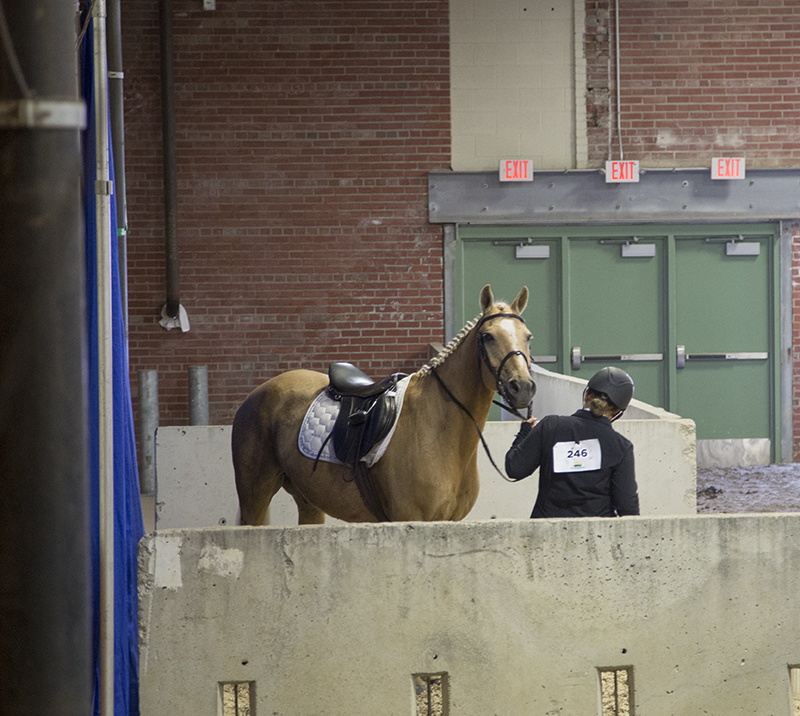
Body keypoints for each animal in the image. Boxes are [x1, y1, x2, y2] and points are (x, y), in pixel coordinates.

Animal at [228, 286, 536, 524]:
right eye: (488, 336)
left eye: (528, 336)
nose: (522, 387)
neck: (441, 428)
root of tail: (259, 392)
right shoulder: (412, 519)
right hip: (255, 494)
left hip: (308, 502)